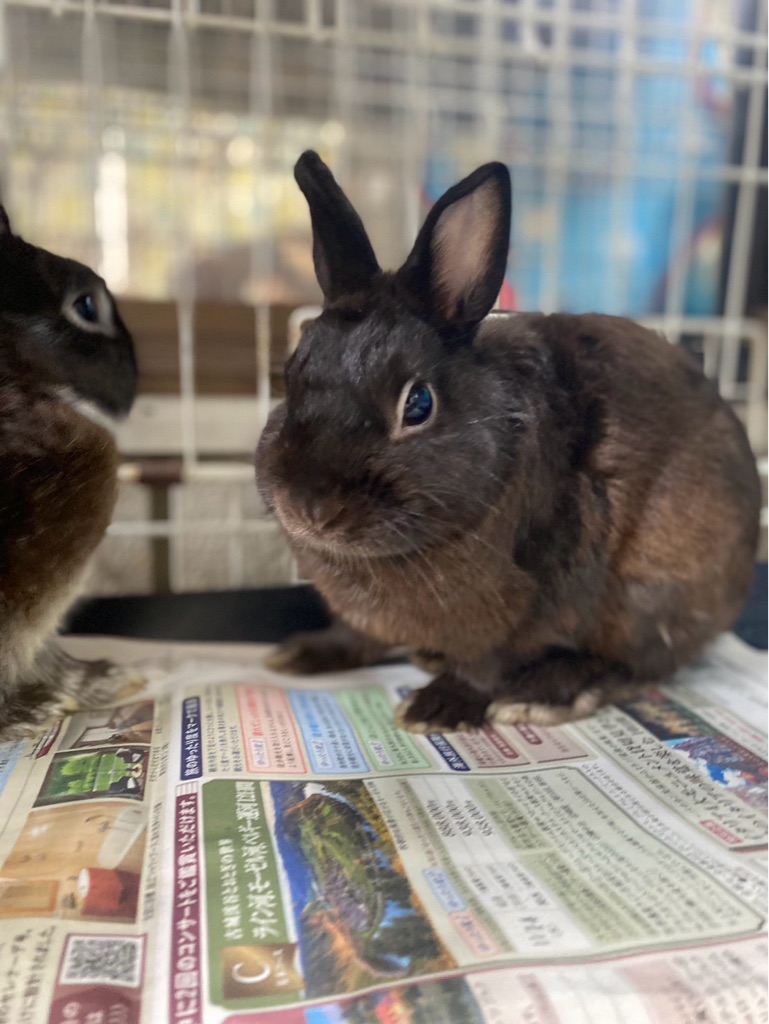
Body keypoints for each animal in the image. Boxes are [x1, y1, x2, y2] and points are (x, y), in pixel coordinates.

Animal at [255, 151, 761, 734]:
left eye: (418, 404)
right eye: (292, 375)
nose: (310, 507)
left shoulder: (523, 607)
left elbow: (487, 665)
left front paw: (437, 707)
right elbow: (355, 633)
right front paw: (301, 653)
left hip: (649, 595)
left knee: (633, 664)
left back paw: (542, 693)